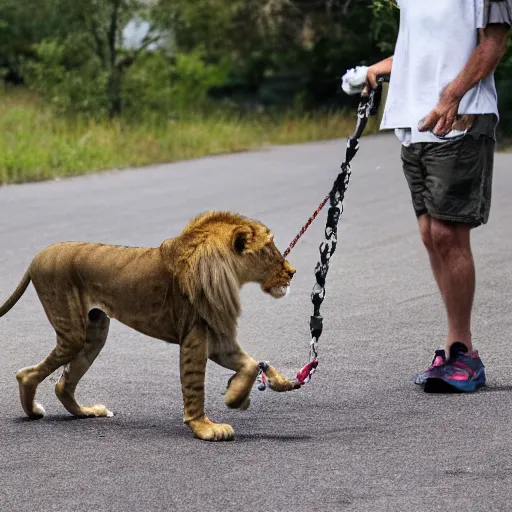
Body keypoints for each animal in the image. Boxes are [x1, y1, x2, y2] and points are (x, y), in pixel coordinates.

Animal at [0, 211, 300, 440]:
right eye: (269, 249)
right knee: (27, 374)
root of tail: (36, 258)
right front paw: (205, 428)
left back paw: (87, 412)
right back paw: (33, 411)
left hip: (95, 331)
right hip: (72, 331)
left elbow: (249, 365)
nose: (292, 272)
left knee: (63, 383)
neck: (227, 269)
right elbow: (194, 387)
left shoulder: (216, 337)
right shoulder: (195, 336)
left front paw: (239, 396)